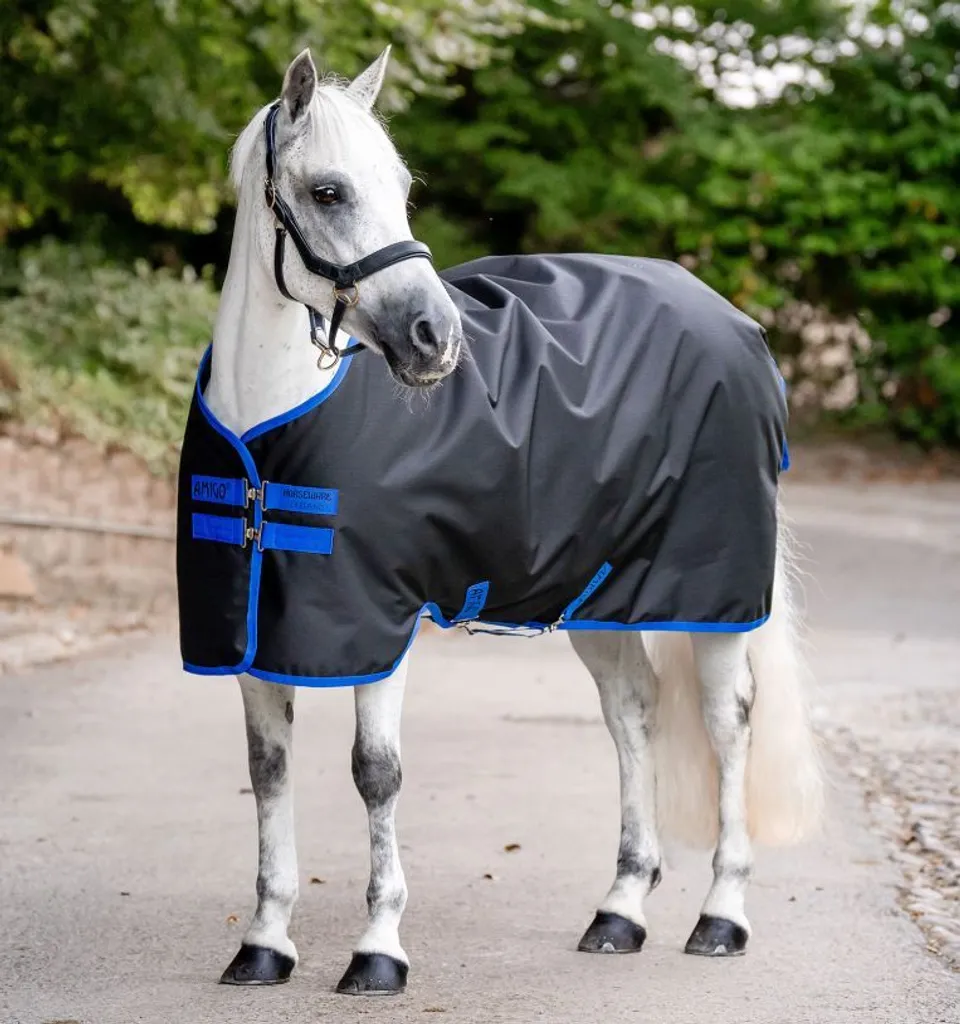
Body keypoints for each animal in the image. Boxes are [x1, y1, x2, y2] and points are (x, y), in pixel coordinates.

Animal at [177, 46, 824, 996]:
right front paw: (264, 942)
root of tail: (737, 323)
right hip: (601, 597)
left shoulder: (382, 624)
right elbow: (268, 774)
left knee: (726, 721)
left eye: (403, 186)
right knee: (632, 713)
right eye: (329, 191)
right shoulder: (257, 634)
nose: (434, 337)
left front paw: (378, 950)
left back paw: (721, 916)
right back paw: (620, 911)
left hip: (714, 595)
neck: (271, 431)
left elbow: (376, 774)